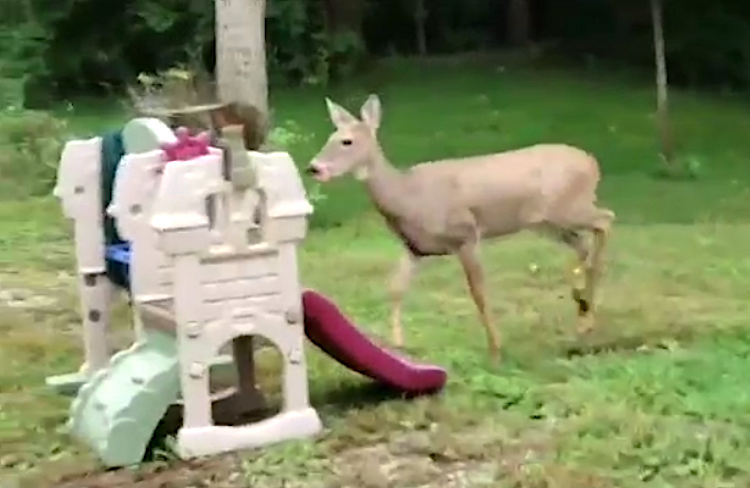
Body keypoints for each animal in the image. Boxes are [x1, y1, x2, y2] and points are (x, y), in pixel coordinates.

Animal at [306, 95, 616, 362]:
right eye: (329, 138)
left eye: (346, 141)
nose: (314, 168)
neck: (408, 196)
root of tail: (593, 163)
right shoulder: (415, 248)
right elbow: (395, 288)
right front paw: (397, 345)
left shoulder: (465, 235)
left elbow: (478, 292)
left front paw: (495, 349)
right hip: (547, 223)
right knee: (583, 243)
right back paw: (583, 310)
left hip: (567, 207)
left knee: (606, 219)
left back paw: (587, 305)